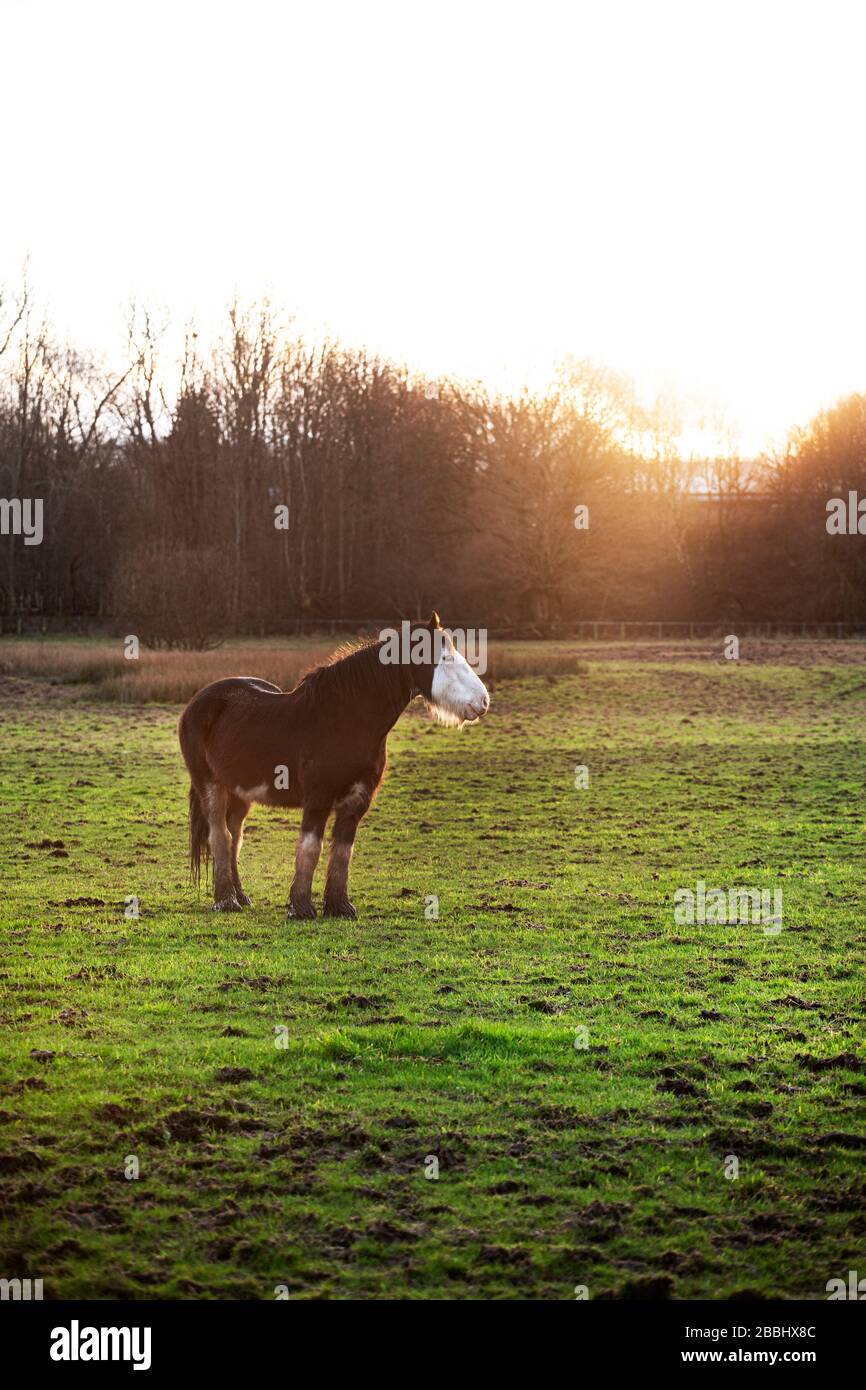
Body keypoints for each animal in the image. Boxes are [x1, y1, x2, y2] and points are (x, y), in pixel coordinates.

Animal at [177, 614, 489, 917]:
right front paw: (301, 908)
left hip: (240, 793)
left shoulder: (357, 800)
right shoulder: (318, 798)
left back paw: (241, 896)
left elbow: (342, 852)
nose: (483, 701)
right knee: (220, 836)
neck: (345, 720)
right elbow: (310, 847)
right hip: (210, 785)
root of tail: (197, 702)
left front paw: (339, 906)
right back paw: (226, 901)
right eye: (445, 658)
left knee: (235, 837)